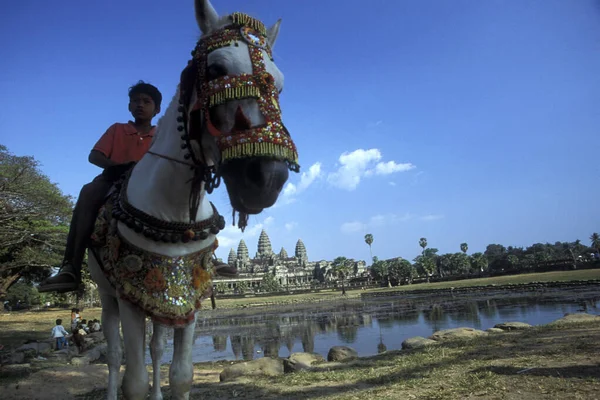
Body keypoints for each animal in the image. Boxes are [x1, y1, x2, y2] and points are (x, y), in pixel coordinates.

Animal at [86, 1, 298, 398]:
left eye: (278, 84)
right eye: (215, 69)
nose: (266, 179)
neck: (175, 213)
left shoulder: (189, 297)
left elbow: (181, 374)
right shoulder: (128, 295)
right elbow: (133, 381)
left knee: (156, 347)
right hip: (106, 293)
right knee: (114, 353)